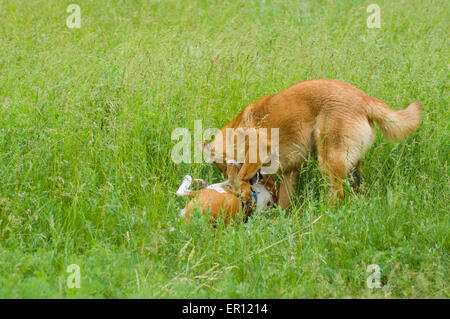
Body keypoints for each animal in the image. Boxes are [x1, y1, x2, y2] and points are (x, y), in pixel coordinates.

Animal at [204, 79, 422, 210]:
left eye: (219, 167)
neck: (238, 127)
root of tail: (365, 99)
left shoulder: (259, 148)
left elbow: (240, 175)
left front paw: (243, 190)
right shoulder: (290, 171)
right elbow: (284, 200)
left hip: (329, 160)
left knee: (337, 193)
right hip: (352, 165)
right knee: (356, 188)